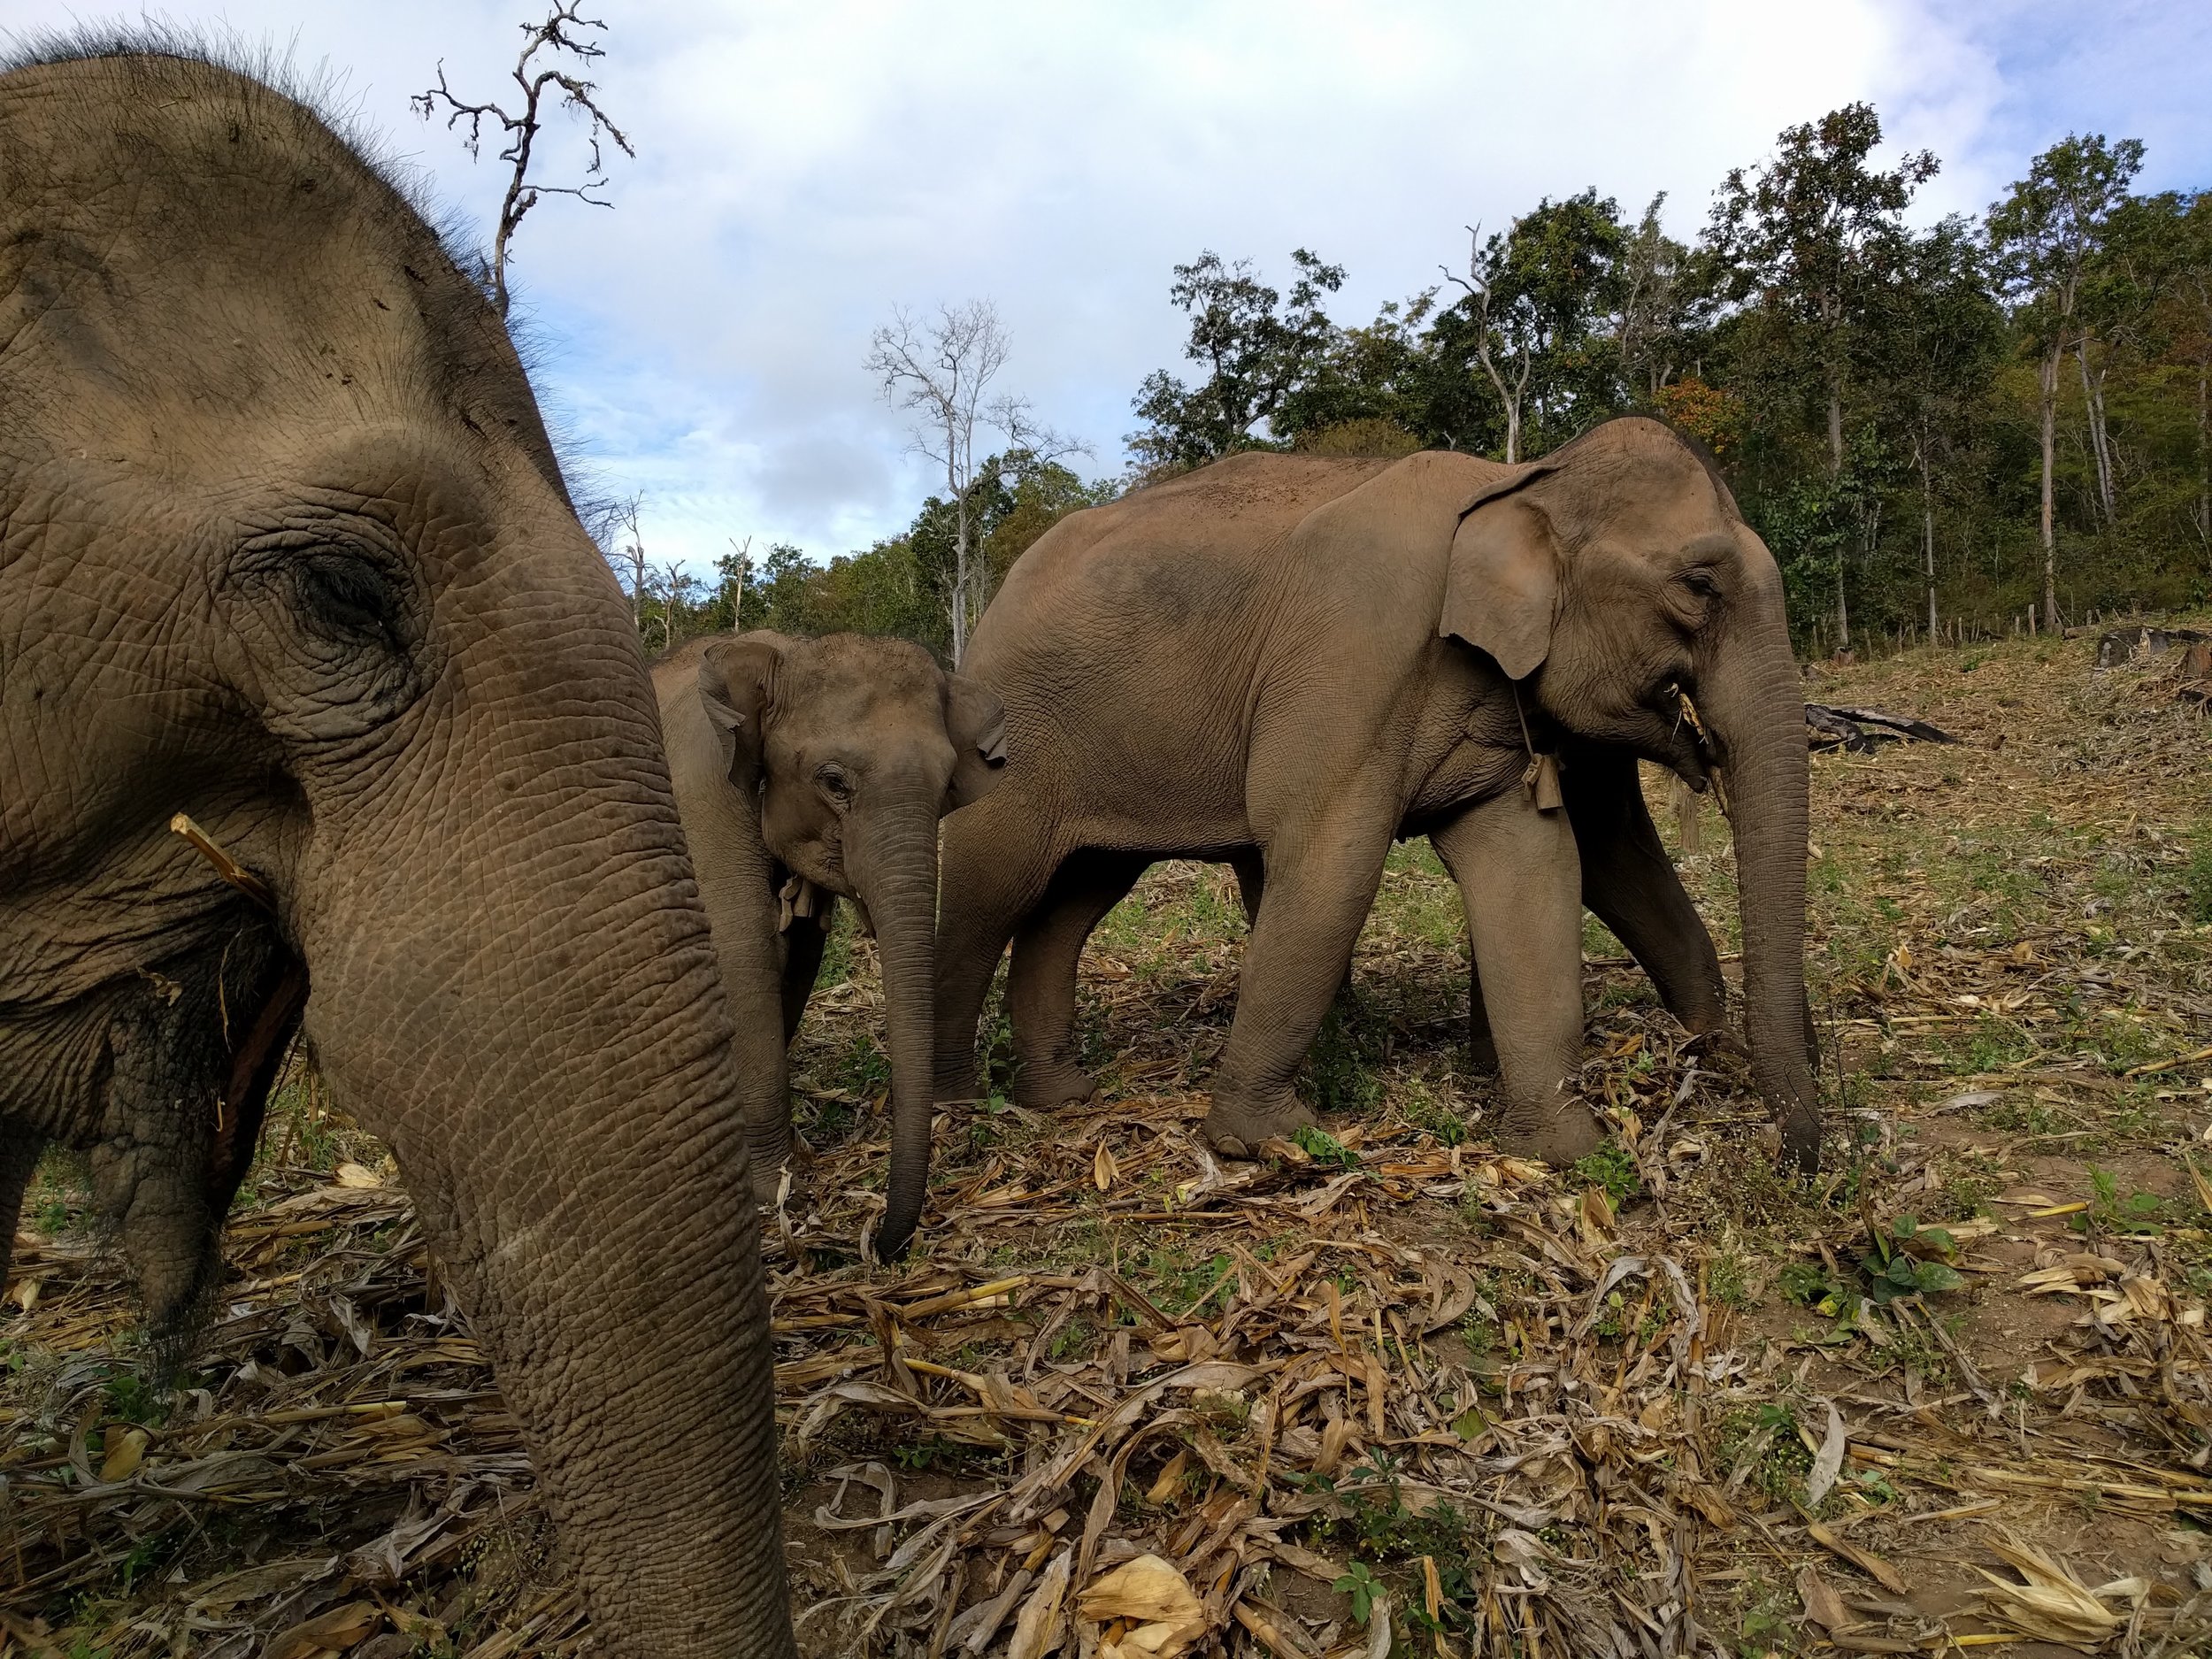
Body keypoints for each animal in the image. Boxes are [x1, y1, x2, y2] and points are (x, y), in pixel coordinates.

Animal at [653, 631, 1005, 1223]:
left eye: (947, 785)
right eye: (834, 781)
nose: (884, 1237)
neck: (782, 655)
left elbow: (797, 954)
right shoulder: (702, 799)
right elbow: (741, 950)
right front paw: (773, 1191)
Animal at [926, 419, 1818, 1251]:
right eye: (1698, 585)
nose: (1797, 1163)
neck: (1519, 479)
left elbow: (1534, 866)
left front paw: (1568, 1153)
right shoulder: (1356, 650)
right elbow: (1330, 858)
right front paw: (1271, 1141)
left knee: (1072, 901)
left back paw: (1060, 1097)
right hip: (1012, 744)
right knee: (987, 893)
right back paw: (956, 1103)